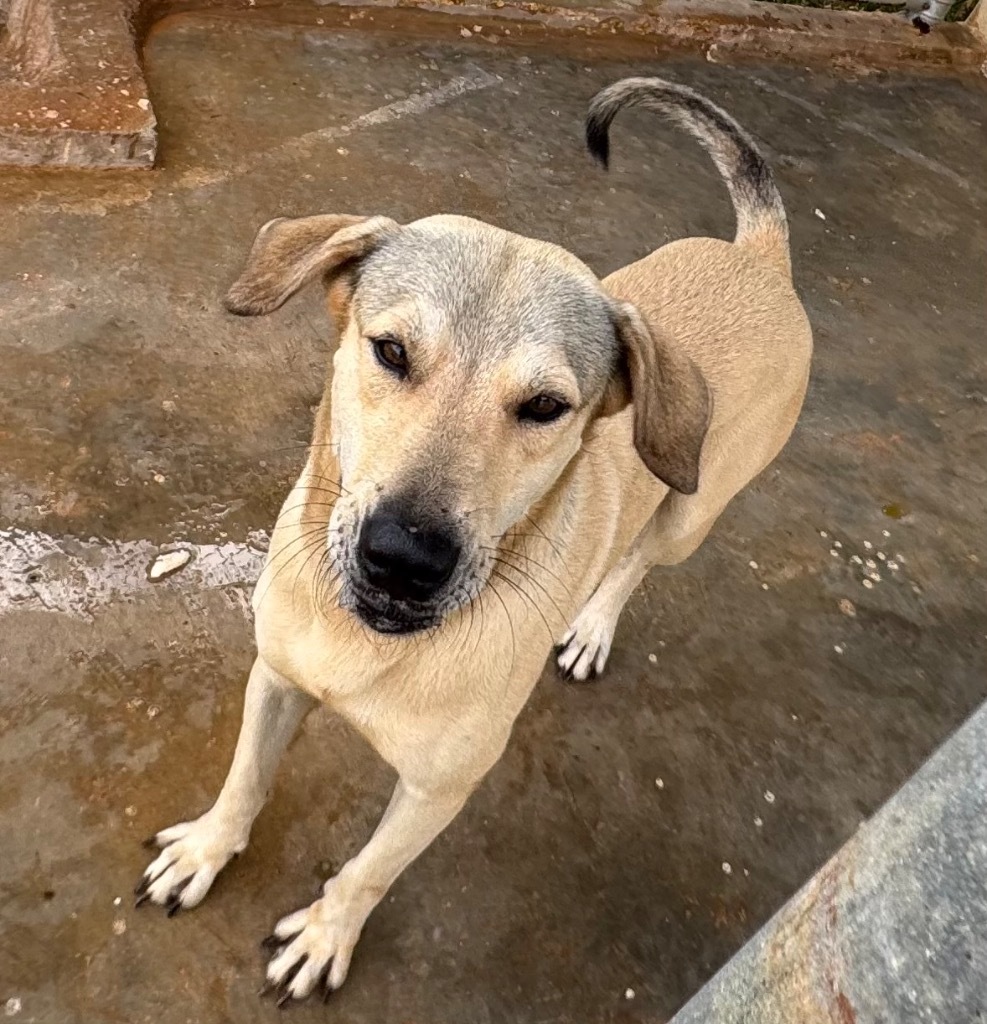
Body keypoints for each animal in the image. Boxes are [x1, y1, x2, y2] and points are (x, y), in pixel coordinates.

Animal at [137, 77, 810, 999]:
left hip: (688, 512)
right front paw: (207, 850)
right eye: (389, 350)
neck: (367, 642)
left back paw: (592, 627)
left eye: (545, 407)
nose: (403, 559)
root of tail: (761, 260)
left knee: (637, 557)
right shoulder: (273, 678)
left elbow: (368, 872)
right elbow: (244, 781)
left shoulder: (437, 788)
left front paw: (326, 935)